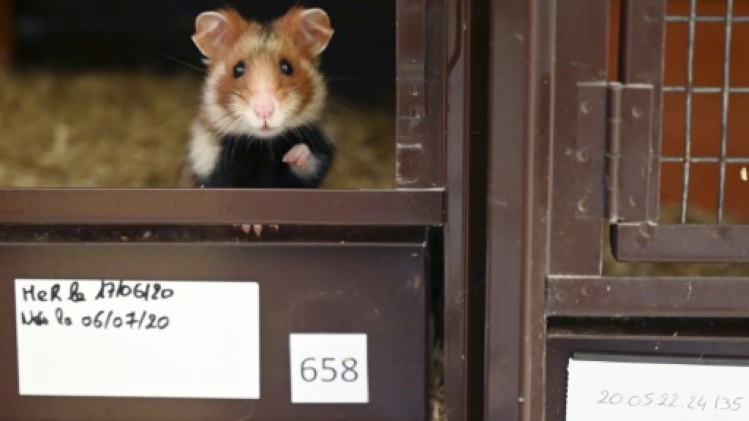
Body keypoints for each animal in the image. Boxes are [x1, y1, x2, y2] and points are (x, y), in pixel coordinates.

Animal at [183, 6, 336, 235]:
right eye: (237, 69)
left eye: (287, 67)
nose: (265, 111)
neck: (264, 146)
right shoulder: (211, 160)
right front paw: (253, 227)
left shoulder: (318, 156)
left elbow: (307, 161)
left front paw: (292, 155)